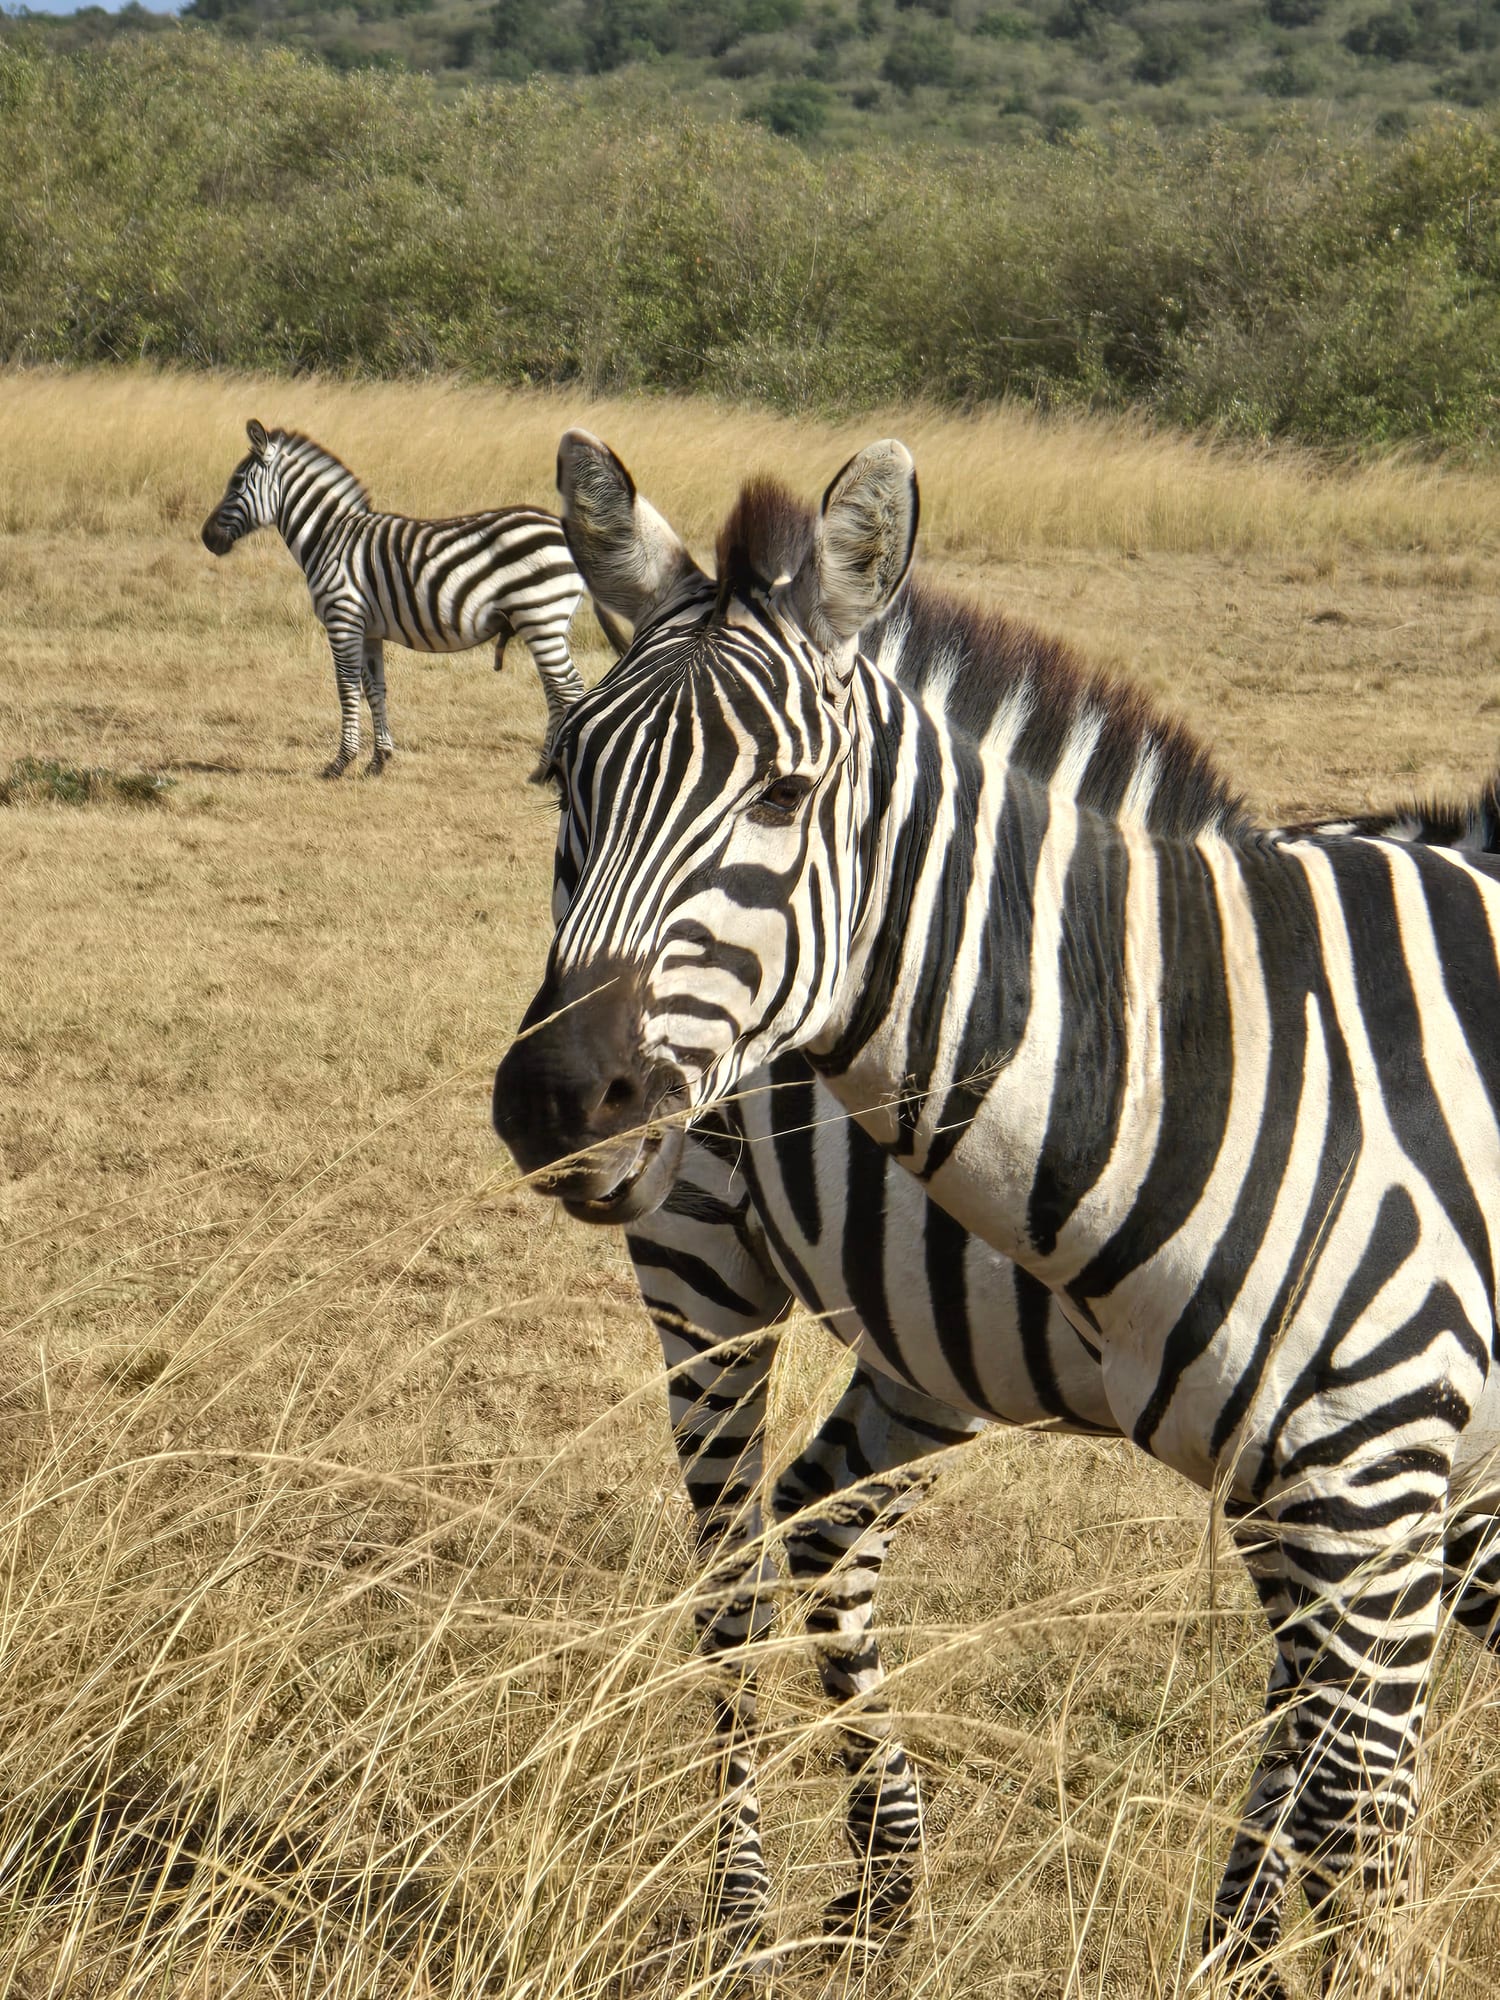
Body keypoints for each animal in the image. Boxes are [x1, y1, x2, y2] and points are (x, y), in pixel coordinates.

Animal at [200, 421, 619, 778]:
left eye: (236, 483)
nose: (206, 538)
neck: (330, 536)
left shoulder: (342, 618)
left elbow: (345, 687)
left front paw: (339, 763)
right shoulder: (368, 629)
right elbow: (374, 688)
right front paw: (379, 761)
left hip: (540, 617)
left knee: (568, 689)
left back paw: (550, 770)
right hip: (547, 623)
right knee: (557, 691)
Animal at [493, 430, 1500, 1998]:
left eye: (785, 794)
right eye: (563, 776)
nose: (556, 1098)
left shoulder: (1371, 1486)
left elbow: (1349, 1799)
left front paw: (1242, 1950)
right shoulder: (1373, 1488)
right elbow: (1358, 1823)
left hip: (927, 1353)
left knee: (824, 1521)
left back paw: (888, 1888)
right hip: (699, 1257)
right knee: (727, 1587)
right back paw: (746, 1918)